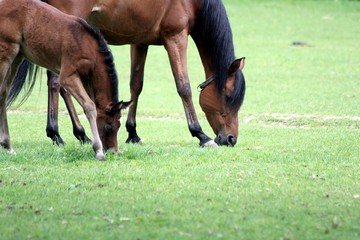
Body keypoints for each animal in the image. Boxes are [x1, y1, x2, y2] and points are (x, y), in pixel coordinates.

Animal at [0, 0, 131, 161]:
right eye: (108, 126)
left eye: (119, 126)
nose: (113, 151)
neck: (87, 45)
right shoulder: (68, 76)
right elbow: (89, 106)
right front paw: (98, 150)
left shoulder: (86, 79)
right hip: (6, 51)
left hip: (17, 56)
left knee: (3, 93)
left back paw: (7, 145)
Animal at [37, 0, 245, 146]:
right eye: (228, 96)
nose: (231, 139)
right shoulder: (176, 37)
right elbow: (183, 87)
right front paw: (200, 134)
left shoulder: (140, 42)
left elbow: (136, 85)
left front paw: (132, 133)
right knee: (57, 82)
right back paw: (56, 133)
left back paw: (80, 134)